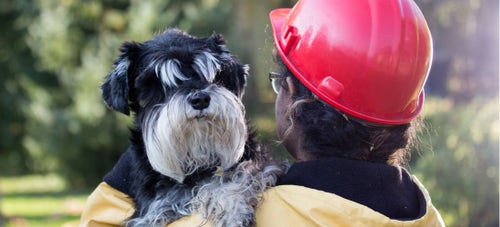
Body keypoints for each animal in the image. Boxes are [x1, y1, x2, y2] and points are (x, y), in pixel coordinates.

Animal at [100, 28, 286, 227]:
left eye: (215, 75)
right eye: (156, 83)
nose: (200, 99)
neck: (197, 155)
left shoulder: (259, 164)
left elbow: (232, 178)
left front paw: (234, 211)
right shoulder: (155, 201)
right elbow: (156, 209)